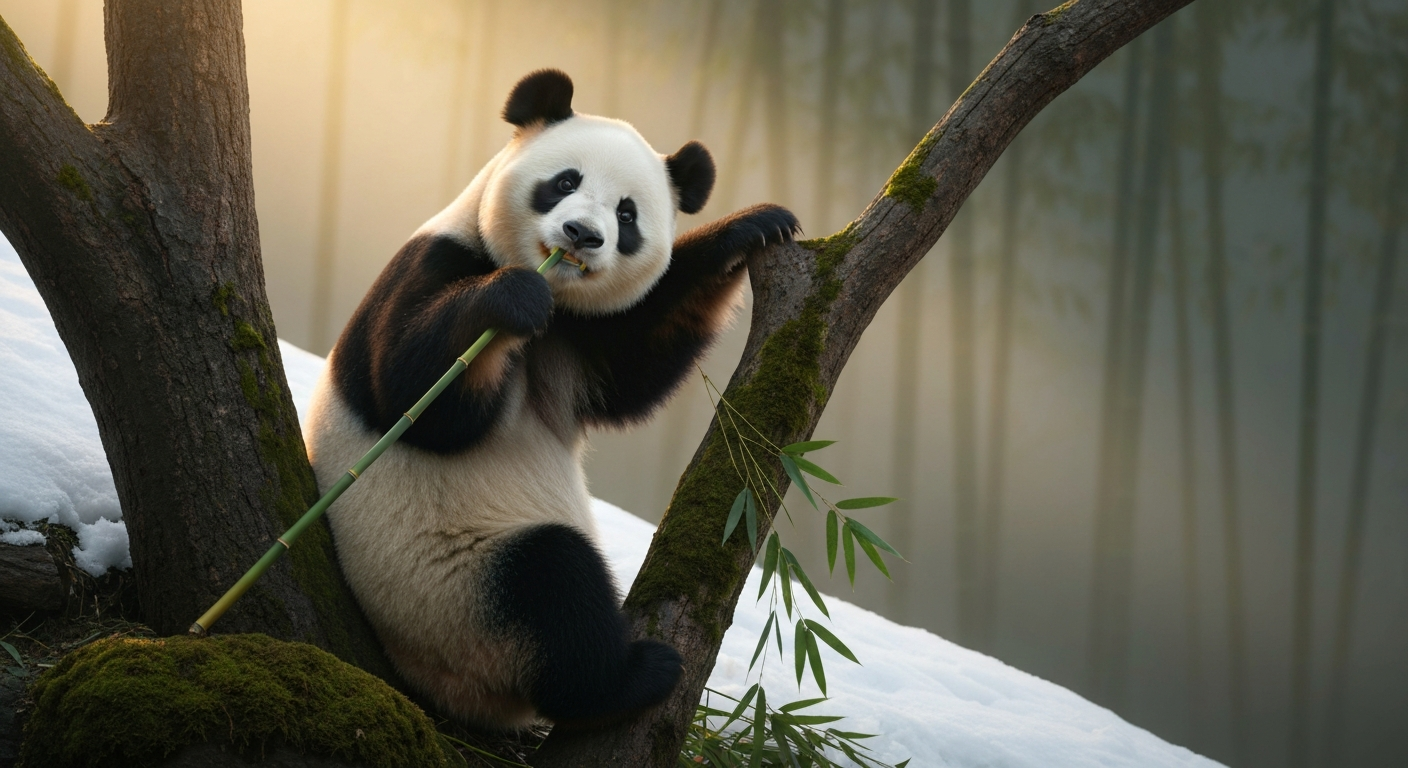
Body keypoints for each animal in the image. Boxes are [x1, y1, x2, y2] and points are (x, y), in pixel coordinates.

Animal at [303, 69, 800, 730]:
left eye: (627, 214)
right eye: (565, 182)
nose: (582, 236)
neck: (553, 298)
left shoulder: (576, 339)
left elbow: (634, 366)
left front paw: (752, 228)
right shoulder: (435, 262)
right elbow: (411, 399)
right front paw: (508, 300)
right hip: (453, 592)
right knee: (552, 585)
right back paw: (629, 677)